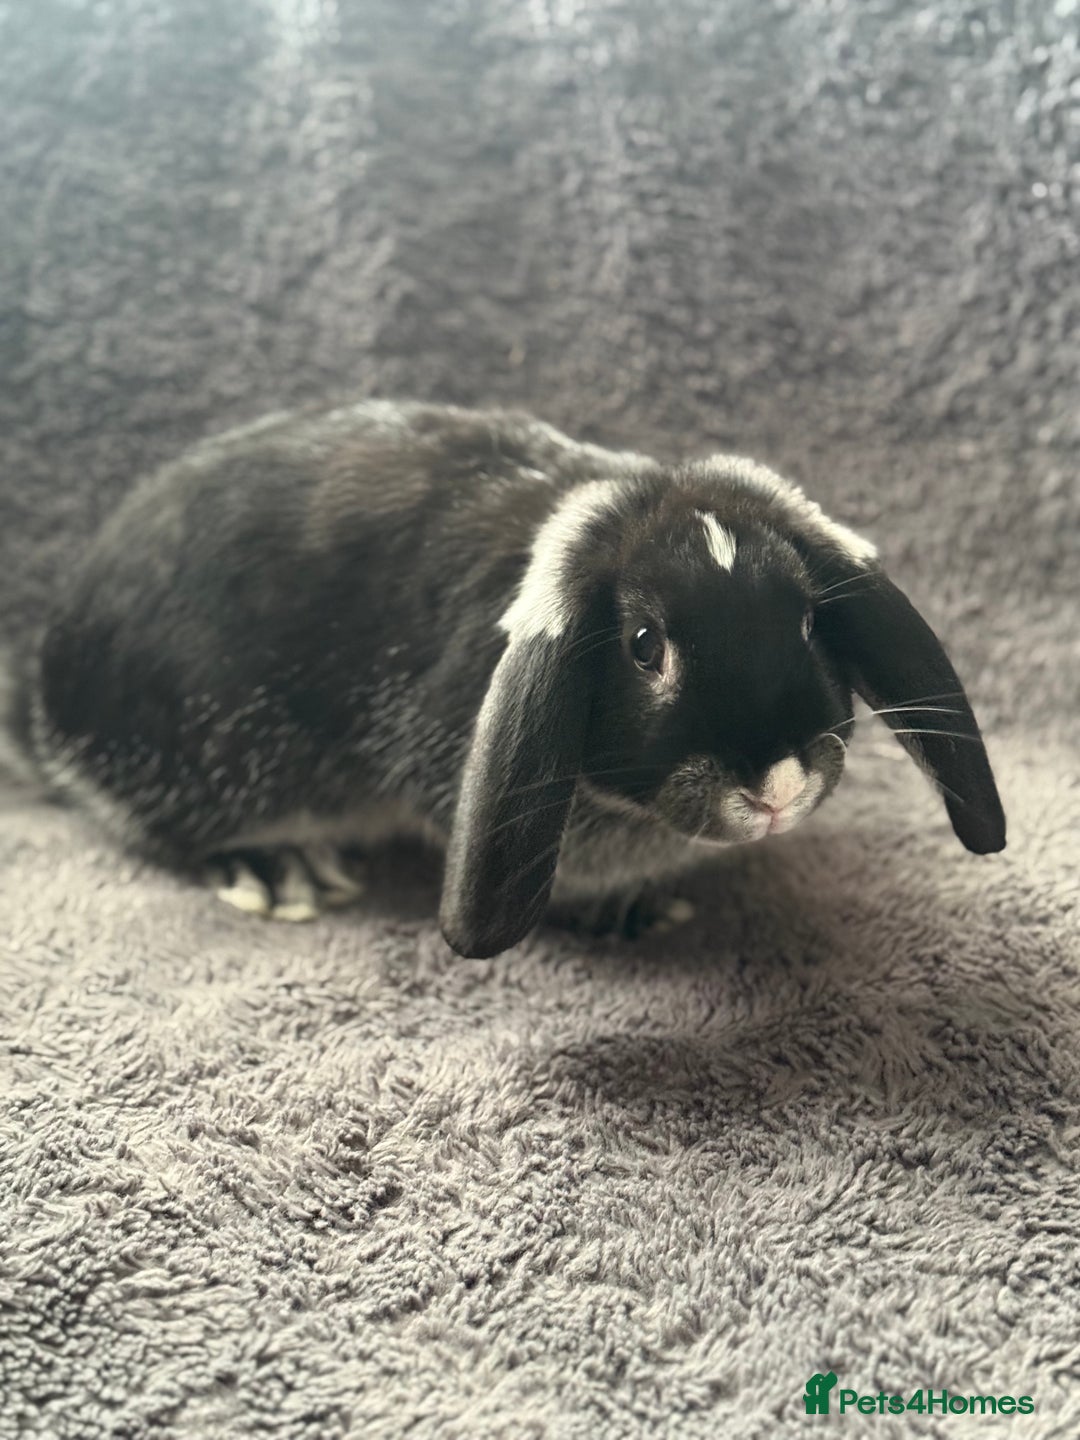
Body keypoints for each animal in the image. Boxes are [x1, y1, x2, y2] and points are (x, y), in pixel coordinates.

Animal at [17, 399, 1006, 957]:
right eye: (644, 645)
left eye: (806, 620)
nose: (779, 784)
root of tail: (47, 683)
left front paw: (646, 910)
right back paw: (277, 869)